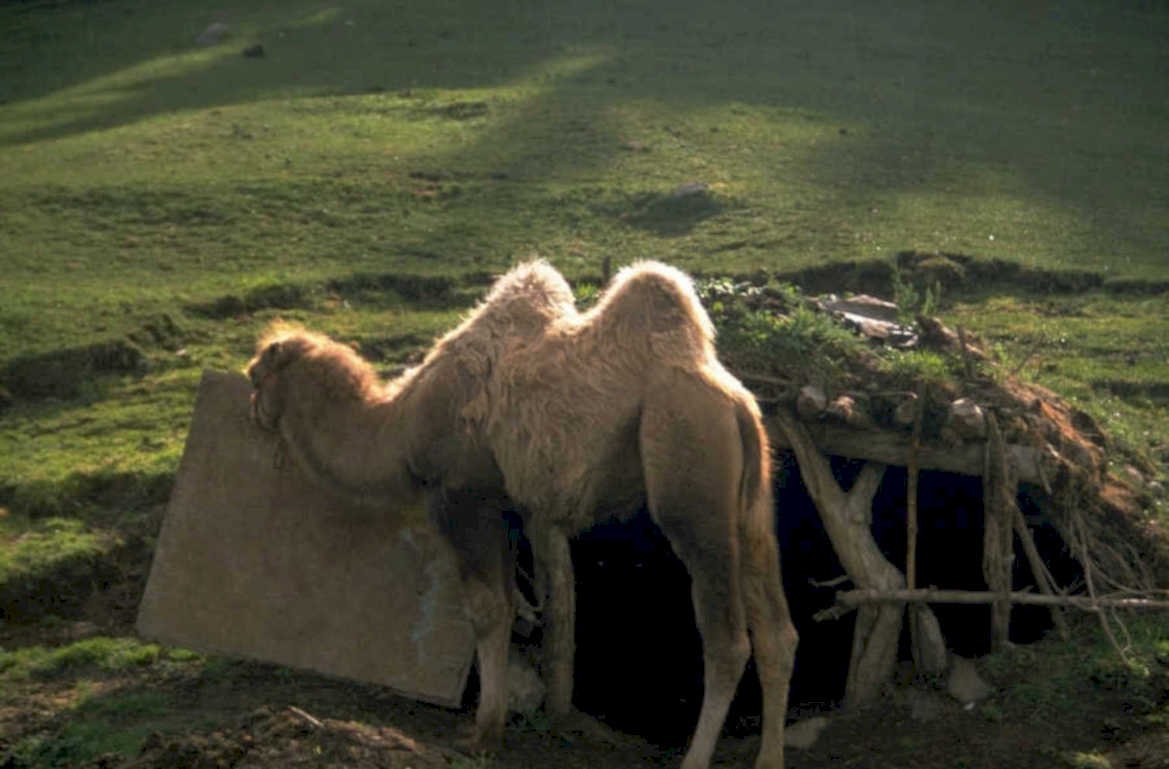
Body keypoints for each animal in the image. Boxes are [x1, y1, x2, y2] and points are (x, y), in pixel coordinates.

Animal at [245, 260, 798, 769]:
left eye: (256, 375)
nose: (252, 410)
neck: (397, 429)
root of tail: (738, 402)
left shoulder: (461, 497)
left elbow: (487, 610)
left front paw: (483, 734)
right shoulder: (508, 507)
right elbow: (511, 606)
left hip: (692, 483)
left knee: (728, 639)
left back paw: (695, 759)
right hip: (751, 508)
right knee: (777, 631)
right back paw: (770, 759)